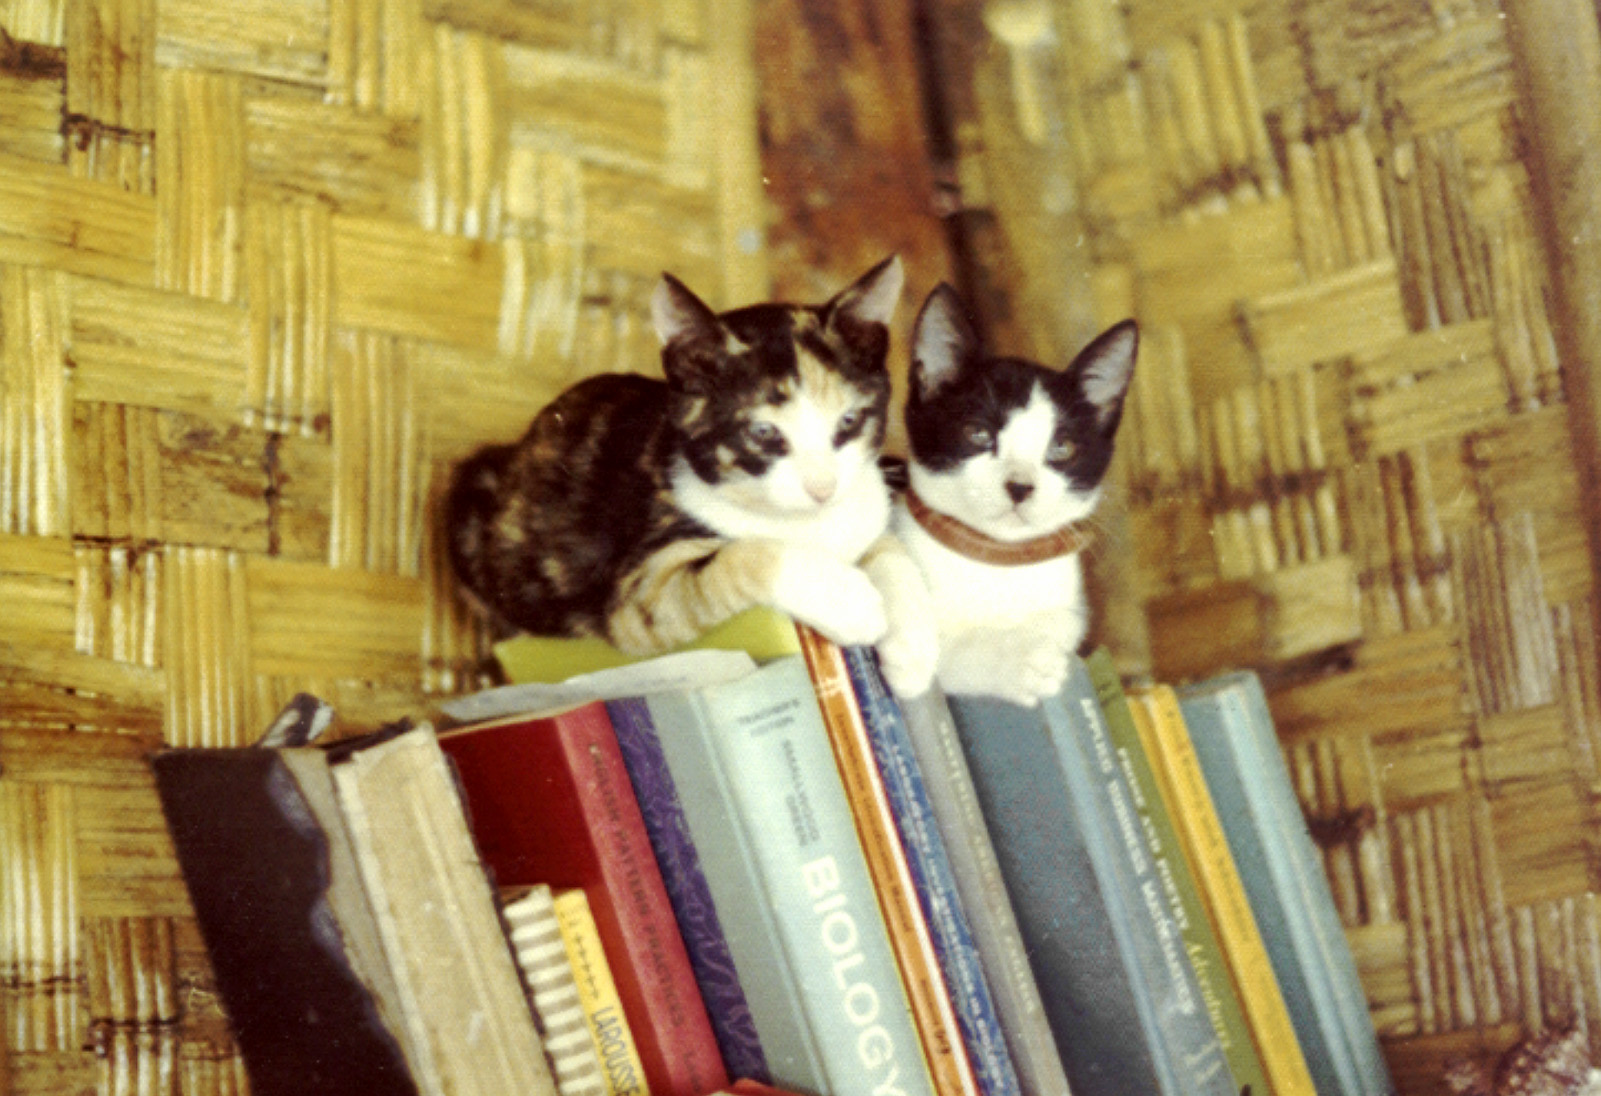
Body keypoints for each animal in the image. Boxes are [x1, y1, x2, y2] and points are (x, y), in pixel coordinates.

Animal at [443, 256, 910, 657]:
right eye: (762, 432)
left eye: (849, 420)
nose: (822, 488)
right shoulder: (636, 592)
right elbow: (746, 554)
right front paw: (852, 604)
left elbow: (890, 550)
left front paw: (910, 651)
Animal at [877, 283, 1138, 706]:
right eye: (978, 433)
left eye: (1061, 447)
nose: (1020, 486)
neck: (995, 562)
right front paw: (912, 653)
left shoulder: (1068, 599)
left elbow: (1063, 622)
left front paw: (1034, 649)